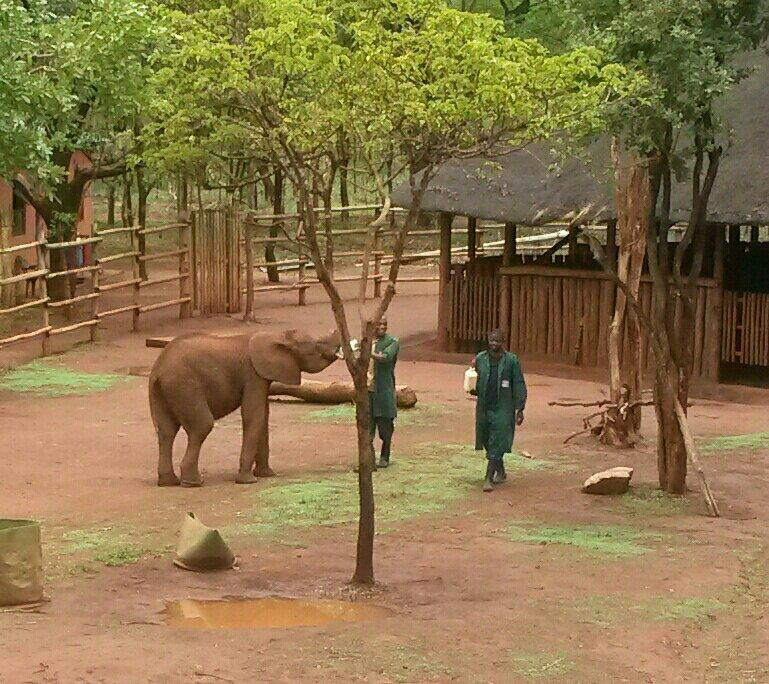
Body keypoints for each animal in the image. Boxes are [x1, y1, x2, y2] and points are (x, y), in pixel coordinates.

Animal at [148, 328, 341, 487]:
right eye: (318, 345)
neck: (277, 335)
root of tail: (159, 369)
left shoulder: (262, 376)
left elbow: (263, 417)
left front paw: (267, 475)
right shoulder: (253, 374)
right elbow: (254, 415)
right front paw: (248, 481)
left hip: (161, 391)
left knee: (166, 431)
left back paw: (168, 482)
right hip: (185, 385)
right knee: (201, 426)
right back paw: (193, 483)